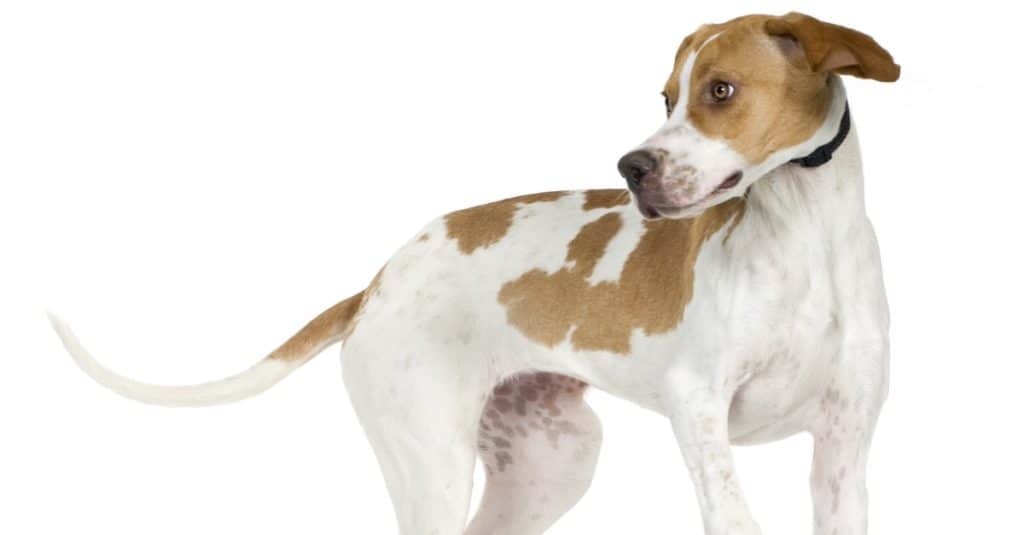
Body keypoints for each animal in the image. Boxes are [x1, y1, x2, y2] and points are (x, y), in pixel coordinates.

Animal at [49, 11, 897, 532]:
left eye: (721, 91)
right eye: (666, 97)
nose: (631, 168)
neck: (806, 233)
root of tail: (377, 279)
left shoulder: (844, 456)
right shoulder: (697, 410)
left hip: (551, 462)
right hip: (436, 462)